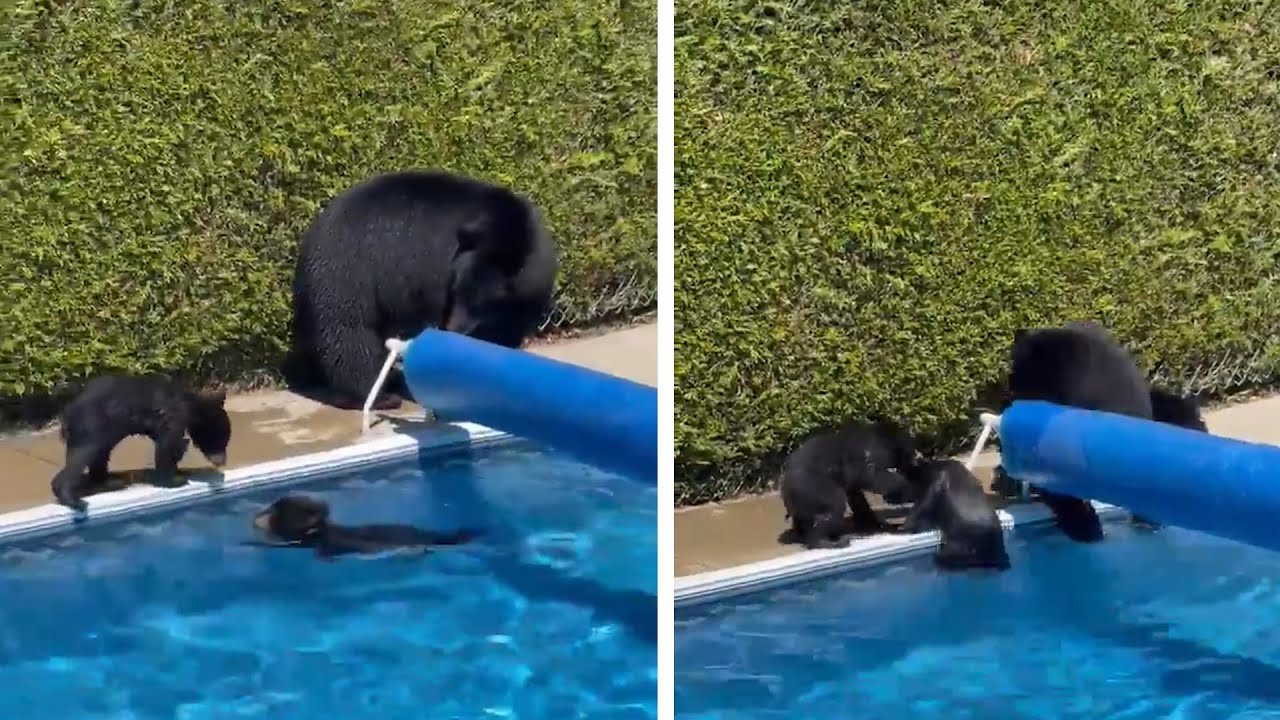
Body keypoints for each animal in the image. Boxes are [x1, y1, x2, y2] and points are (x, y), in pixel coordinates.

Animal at [53, 376, 232, 509]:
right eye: (222, 439)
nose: (221, 461)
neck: (189, 403)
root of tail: (66, 411)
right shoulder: (172, 415)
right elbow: (167, 444)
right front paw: (173, 481)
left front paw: (179, 468)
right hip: (93, 423)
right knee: (83, 455)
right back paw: (71, 498)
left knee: (100, 455)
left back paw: (110, 482)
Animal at [285, 167, 560, 409]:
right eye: (458, 291)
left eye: (481, 305)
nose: (454, 329)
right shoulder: (432, 270)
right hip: (348, 280)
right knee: (349, 337)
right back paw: (376, 395)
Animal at [778, 412, 921, 545]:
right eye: (911, 451)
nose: (913, 461)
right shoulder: (869, 456)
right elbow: (874, 477)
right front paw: (904, 489)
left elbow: (857, 496)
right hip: (812, 485)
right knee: (833, 503)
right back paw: (825, 541)